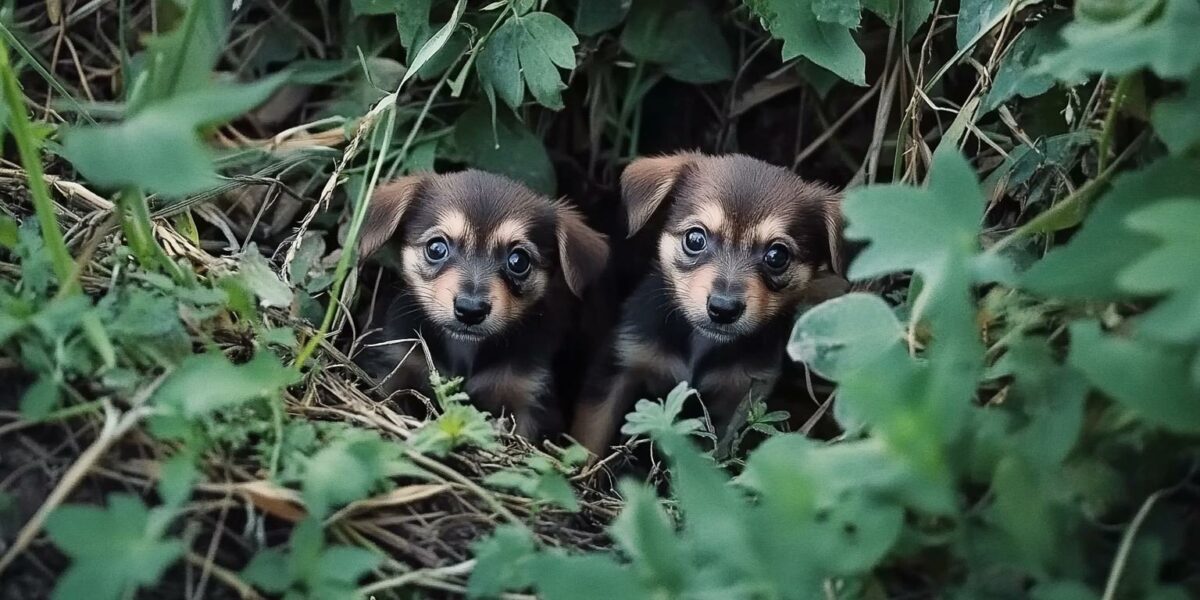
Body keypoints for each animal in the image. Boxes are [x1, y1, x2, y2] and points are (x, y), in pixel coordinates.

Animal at [350, 171, 604, 439]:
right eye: (436, 248)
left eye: (519, 261)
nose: (470, 310)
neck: (465, 348)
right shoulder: (390, 366)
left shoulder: (530, 399)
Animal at [571, 152, 844, 456]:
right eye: (695, 239)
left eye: (777, 256)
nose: (723, 309)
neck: (701, 343)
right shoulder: (617, 366)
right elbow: (589, 440)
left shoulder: (738, 400)